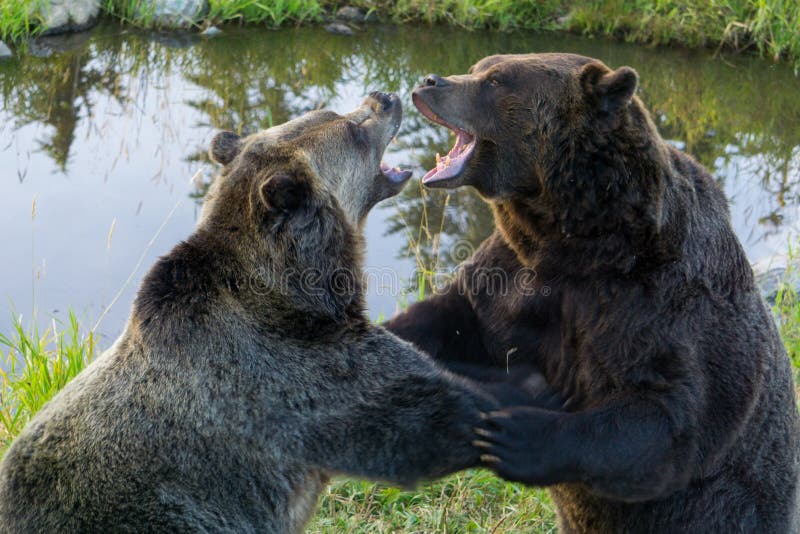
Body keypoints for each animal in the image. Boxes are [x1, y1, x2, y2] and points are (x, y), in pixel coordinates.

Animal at [0, 92, 551, 533]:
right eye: (353, 129)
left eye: (334, 110)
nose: (385, 97)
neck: (298, 289)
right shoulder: (297, 374)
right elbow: (418, 414)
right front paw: (518, 399)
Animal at [385, 54, 800, 532]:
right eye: (479, 67)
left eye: (496, 80)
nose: (430, 81)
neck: (578, 241)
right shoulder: (517, 274)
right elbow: (455, 315)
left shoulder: (663, 301)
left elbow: (668, 418)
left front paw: (516, 432)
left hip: (729, 509)